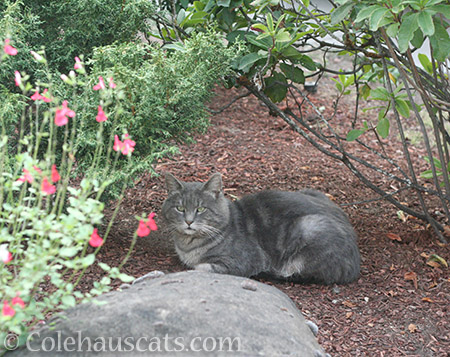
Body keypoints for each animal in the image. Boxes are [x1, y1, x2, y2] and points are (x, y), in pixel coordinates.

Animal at [160, 172, 360, 284]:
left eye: (200, 209)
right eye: (180, 208)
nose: (188, 221)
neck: (187, 246)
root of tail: (355, 266)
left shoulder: (243, 261)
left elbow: (199, 268)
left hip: (309, 227)